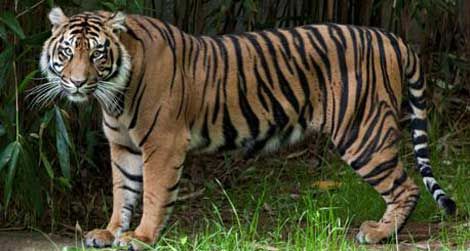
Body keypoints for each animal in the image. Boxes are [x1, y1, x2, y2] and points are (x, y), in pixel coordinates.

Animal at [38, 6, 458, 250]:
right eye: (67, 52)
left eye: (97, 53)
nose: (77, 82)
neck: (114, 94)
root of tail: (392, 37)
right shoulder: (123, 146)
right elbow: (122, 192)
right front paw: (109, 233)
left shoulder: (162, 144)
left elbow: (154, 193)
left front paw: (140, 238)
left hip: (363, 131)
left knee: (405, 187)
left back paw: (380, 234)